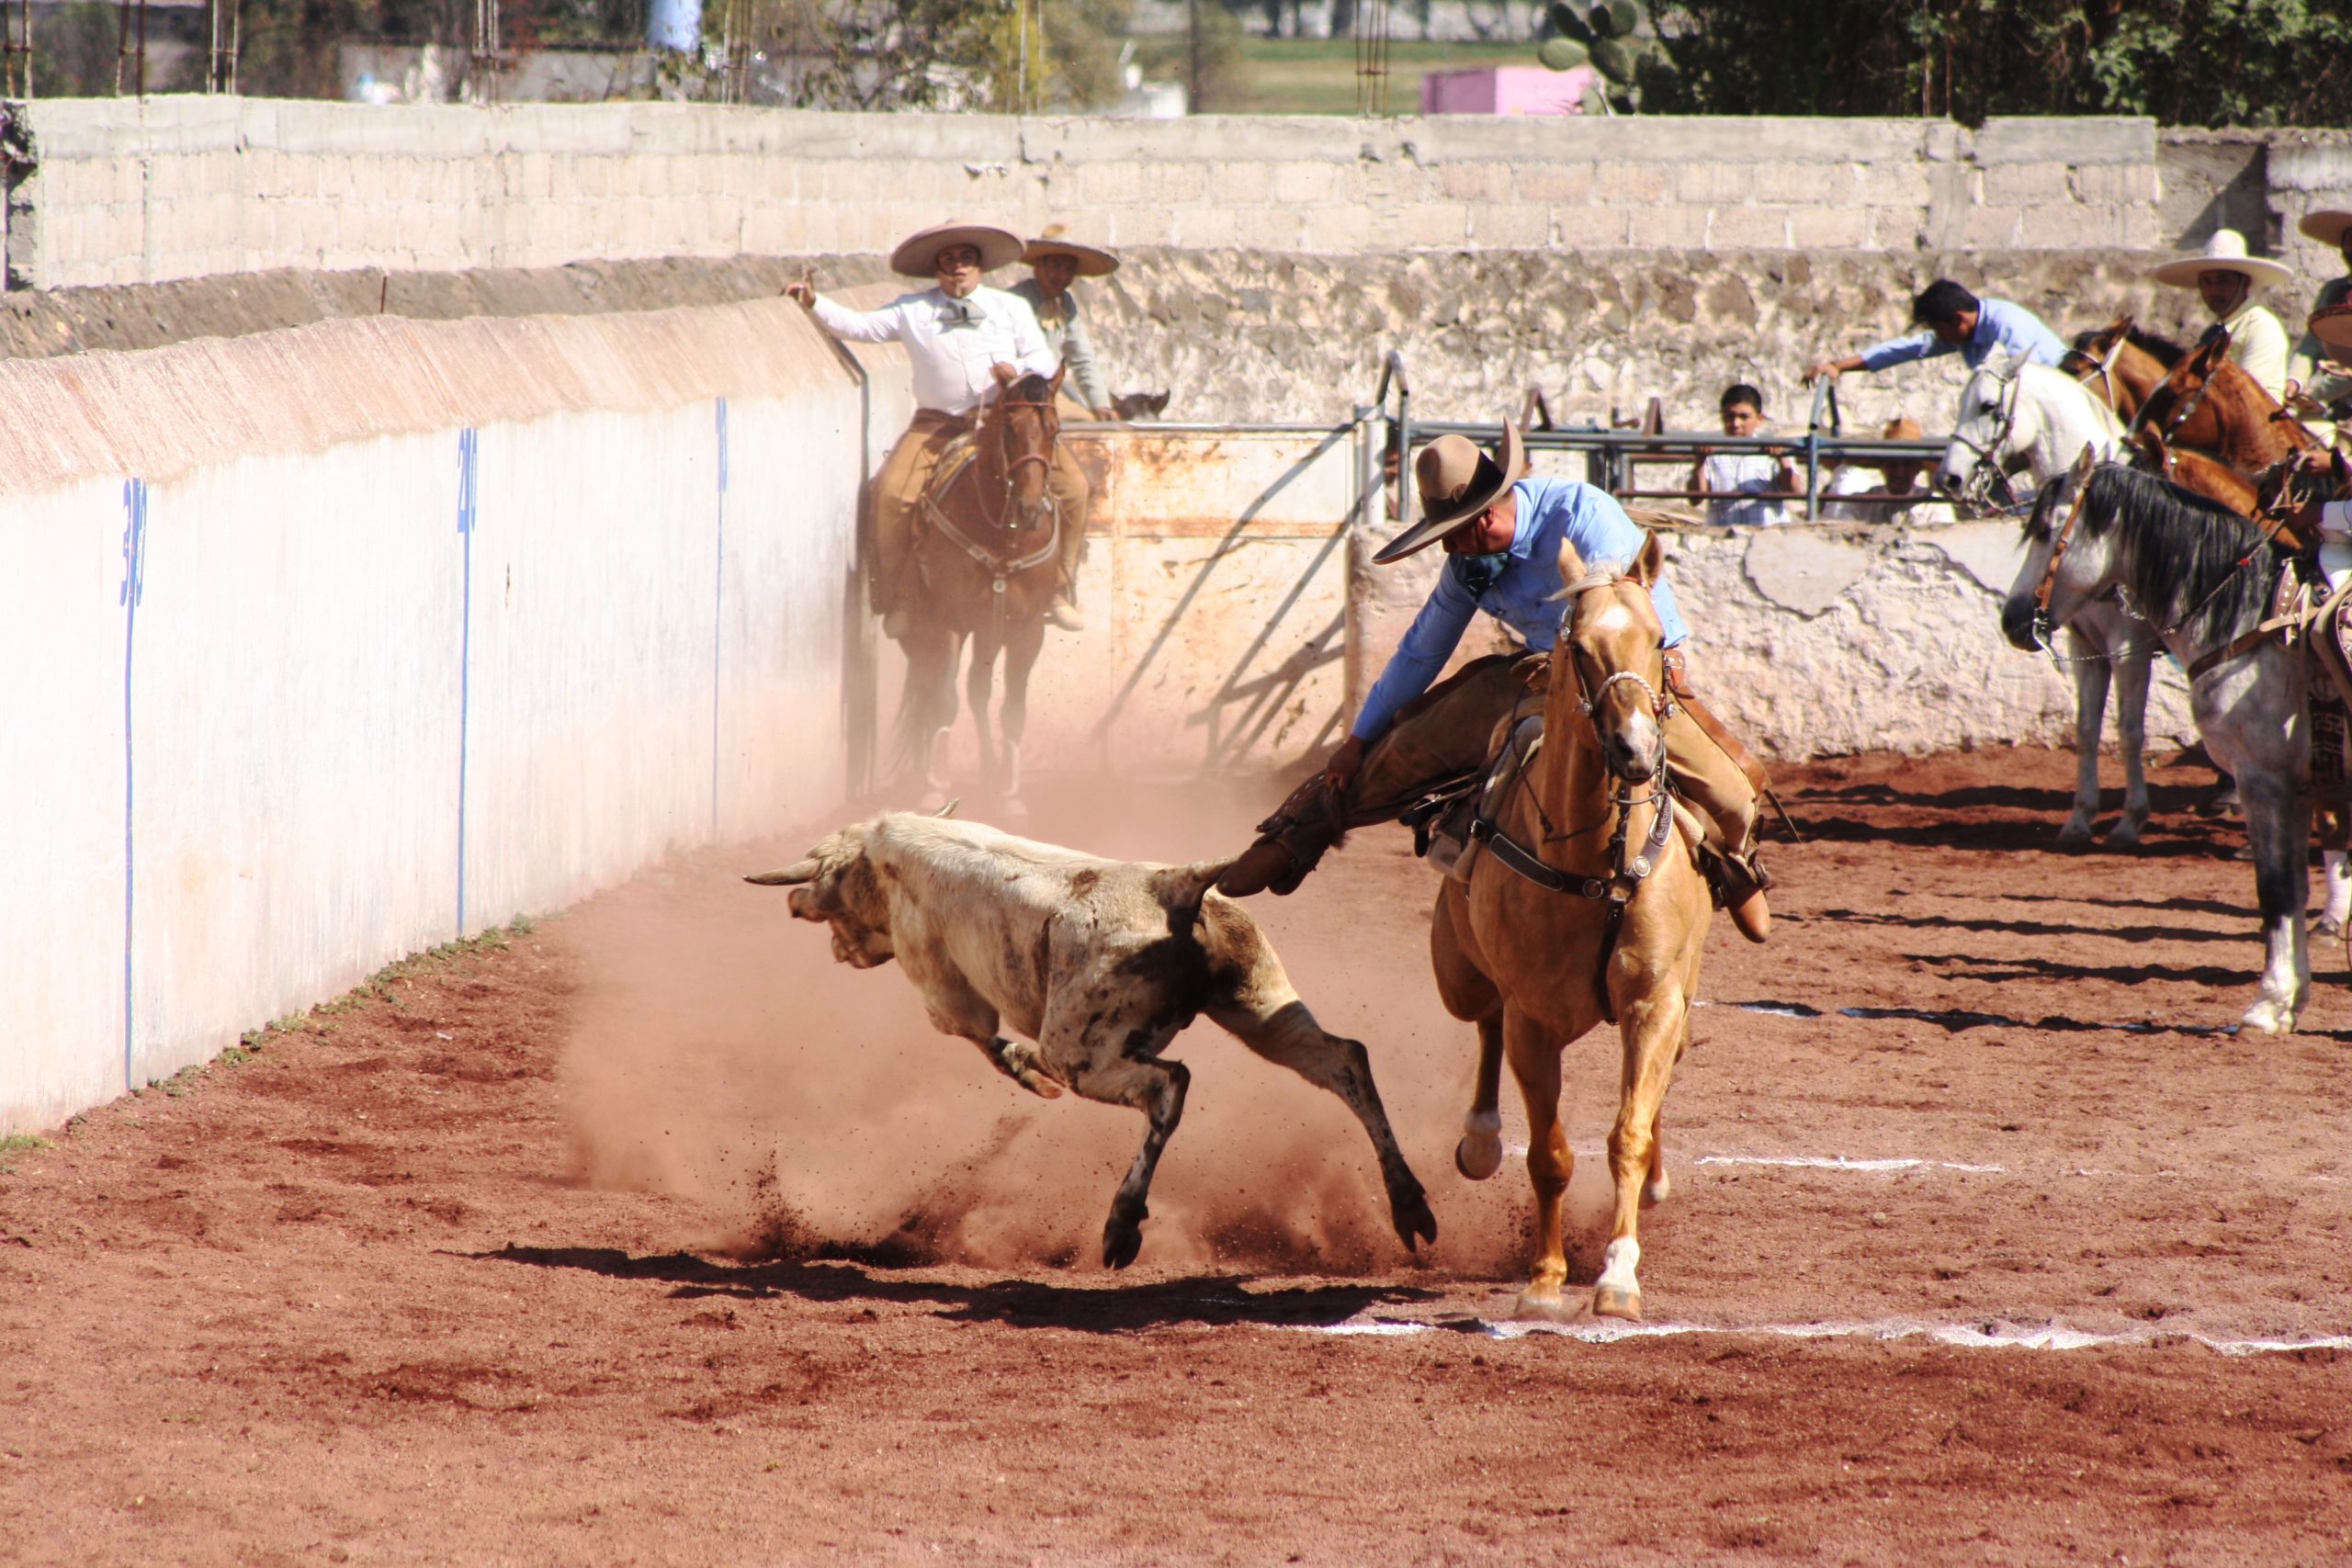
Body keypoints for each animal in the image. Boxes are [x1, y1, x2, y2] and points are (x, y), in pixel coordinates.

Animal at [893, 362, 1072, 818]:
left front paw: (1010, 795)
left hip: (991, 631)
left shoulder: (1027, 629)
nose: (1030, 509)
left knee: (978, 691)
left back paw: (992, 774)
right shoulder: (947, 622)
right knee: (934, 688)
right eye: (1009, 427)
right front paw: (935, 787)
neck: (1002, 535)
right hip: (926, 630)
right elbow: (945, 699)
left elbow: (1012, 709)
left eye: (1055, 429)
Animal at [1430, 531, 1712, 1325]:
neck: (1594, 862)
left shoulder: (1652, 1002)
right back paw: (1479, 1138)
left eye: (1656, 639)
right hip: (1458, 975)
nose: (1636, 750)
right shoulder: (1533, 1019)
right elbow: (1549, 1153)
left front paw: (1617, 1274)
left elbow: (1629, 1134)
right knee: (1484, 1021)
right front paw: (1546, 1279)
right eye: (1580, 647)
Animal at [1928, 355, 2154, 851]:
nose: (1949, 477)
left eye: (1987, 405)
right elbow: (2087, 729)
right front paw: (2080, 819)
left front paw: (2130, 821)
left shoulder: (2130, 648)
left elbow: (2130, 730)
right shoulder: (2085, 645)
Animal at [2004, 460, 2314, 1034]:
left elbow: (2275, 889)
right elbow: (2297, 888)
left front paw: (2267, 1004)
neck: (2255, 624)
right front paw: (2290, 1001)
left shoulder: (2262, 780)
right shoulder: (2298, 788)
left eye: (2044, 530)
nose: (2011, 619)